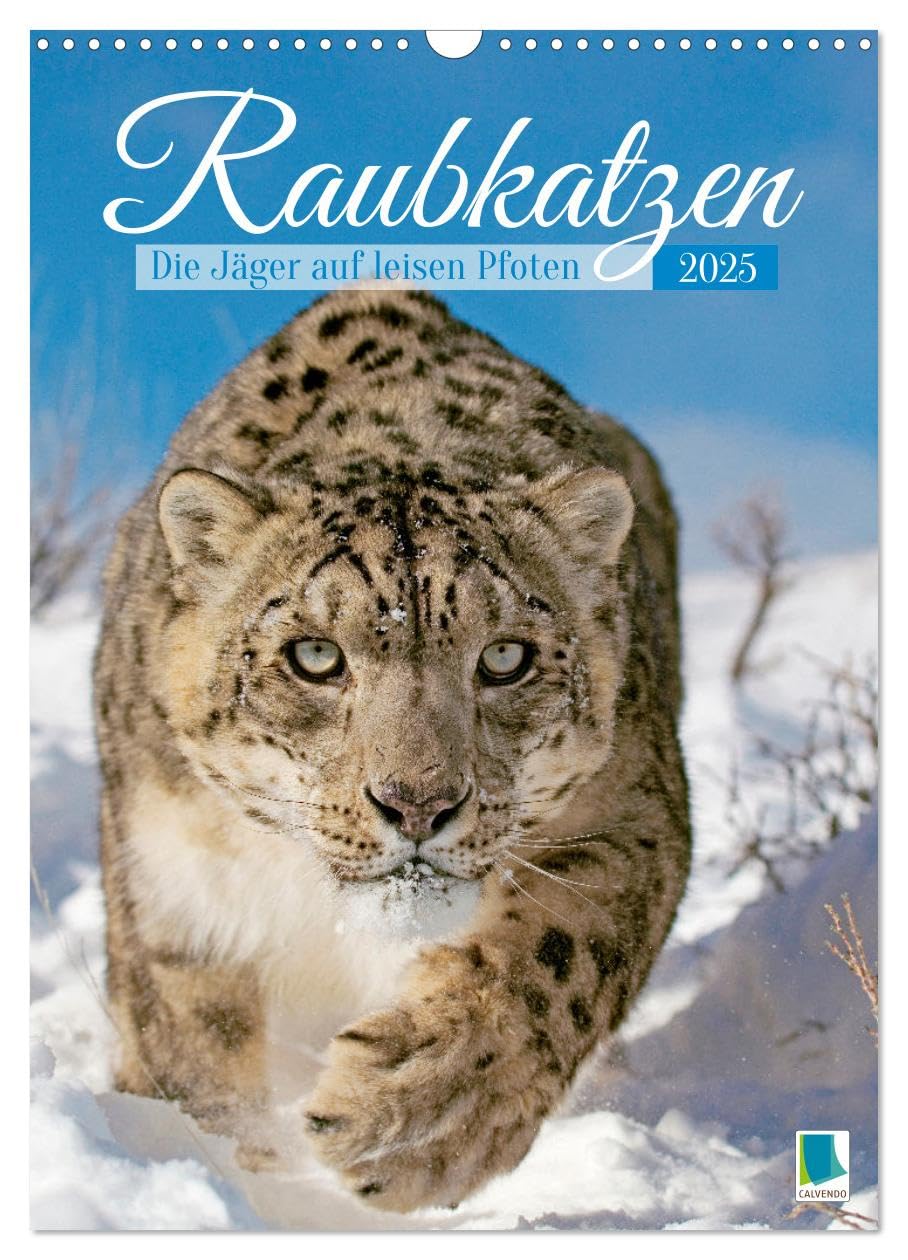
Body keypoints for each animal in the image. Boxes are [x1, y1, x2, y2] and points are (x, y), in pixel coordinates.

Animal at [94, 283, 690, 1215]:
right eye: (314, 655)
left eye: (506, 657)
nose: (418, 804)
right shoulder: (178, 894)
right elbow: (195, 1068)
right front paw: (246, 1186)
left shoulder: (632, 811)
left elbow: (555, 957)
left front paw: (409, 1123)